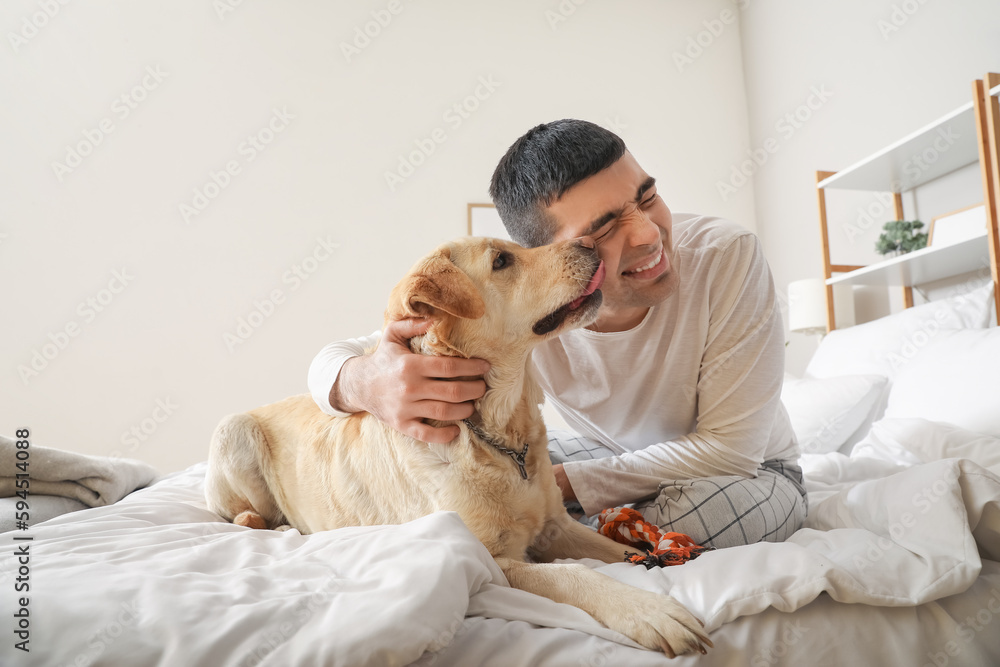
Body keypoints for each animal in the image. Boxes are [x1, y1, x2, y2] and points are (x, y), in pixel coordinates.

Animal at [203, 236, 712, 656]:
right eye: (502, 260)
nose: (591, 243)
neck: (497, 435)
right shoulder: (489, 560)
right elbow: (568, 572)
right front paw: (648, 610)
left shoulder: (555, 525)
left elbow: (619, 551)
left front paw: (671, 561)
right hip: (233, 429)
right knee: (240, 513)